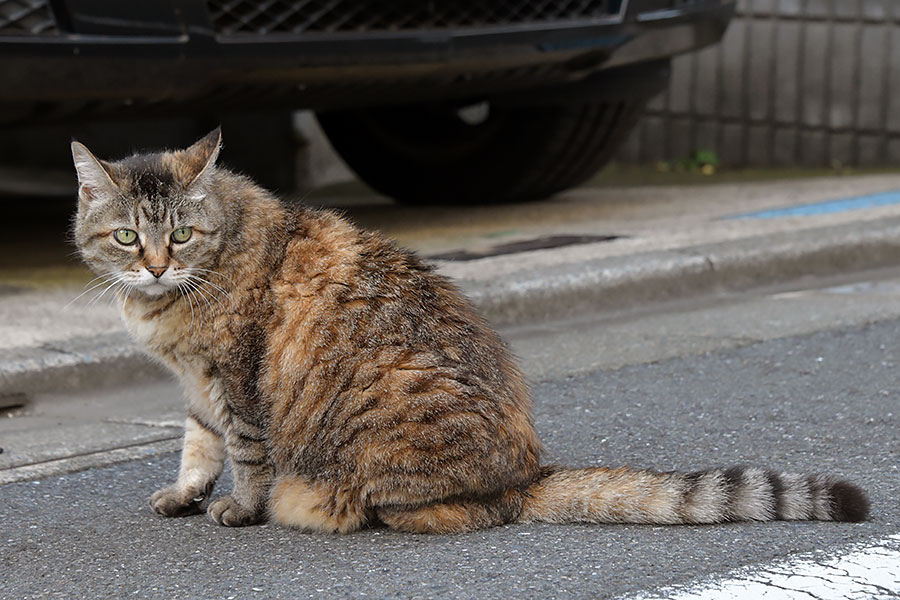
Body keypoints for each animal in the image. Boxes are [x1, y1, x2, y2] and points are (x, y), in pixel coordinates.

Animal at [72, 129, 872, 532]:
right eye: (125, 237)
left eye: (180, 234)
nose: (153, 267)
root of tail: (527, 472)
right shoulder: (195, 383)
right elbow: (197, 444)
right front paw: (186, 493)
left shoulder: (234, 377)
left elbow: (245, 451)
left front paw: (241, 507)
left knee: (461, 512)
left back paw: (329, 508)